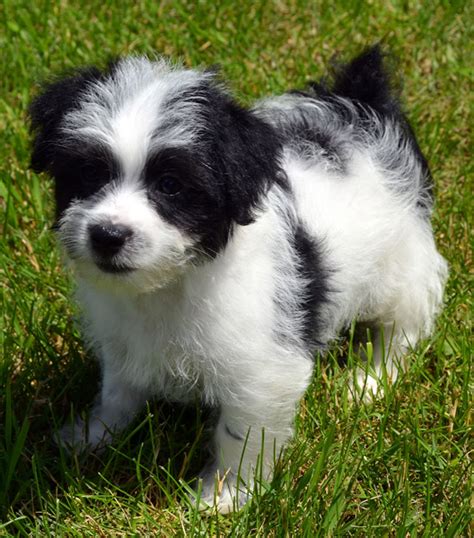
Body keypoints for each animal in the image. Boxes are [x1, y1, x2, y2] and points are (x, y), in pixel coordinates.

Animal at [29, 47, 448, 510]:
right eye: (89, 174)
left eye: (171, 185)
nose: (107, 235)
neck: (173, 283)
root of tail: (362, 103)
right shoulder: (123, 336)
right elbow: (118, 390)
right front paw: (94, 435)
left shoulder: (263, 368)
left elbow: (242, 436)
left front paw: (224, 495)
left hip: (403, 265)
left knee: (401, 330)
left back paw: (370, 381)